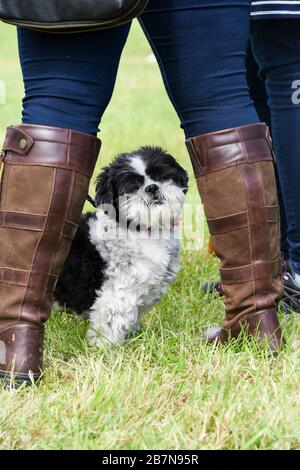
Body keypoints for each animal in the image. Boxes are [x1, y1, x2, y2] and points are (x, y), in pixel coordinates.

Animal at [54, 145, 188, 346]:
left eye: (162, 175)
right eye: (131, 186)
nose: (152, 187)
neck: (141, 229)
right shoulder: (116, 296)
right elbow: (108, 324)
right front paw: (105, 348)